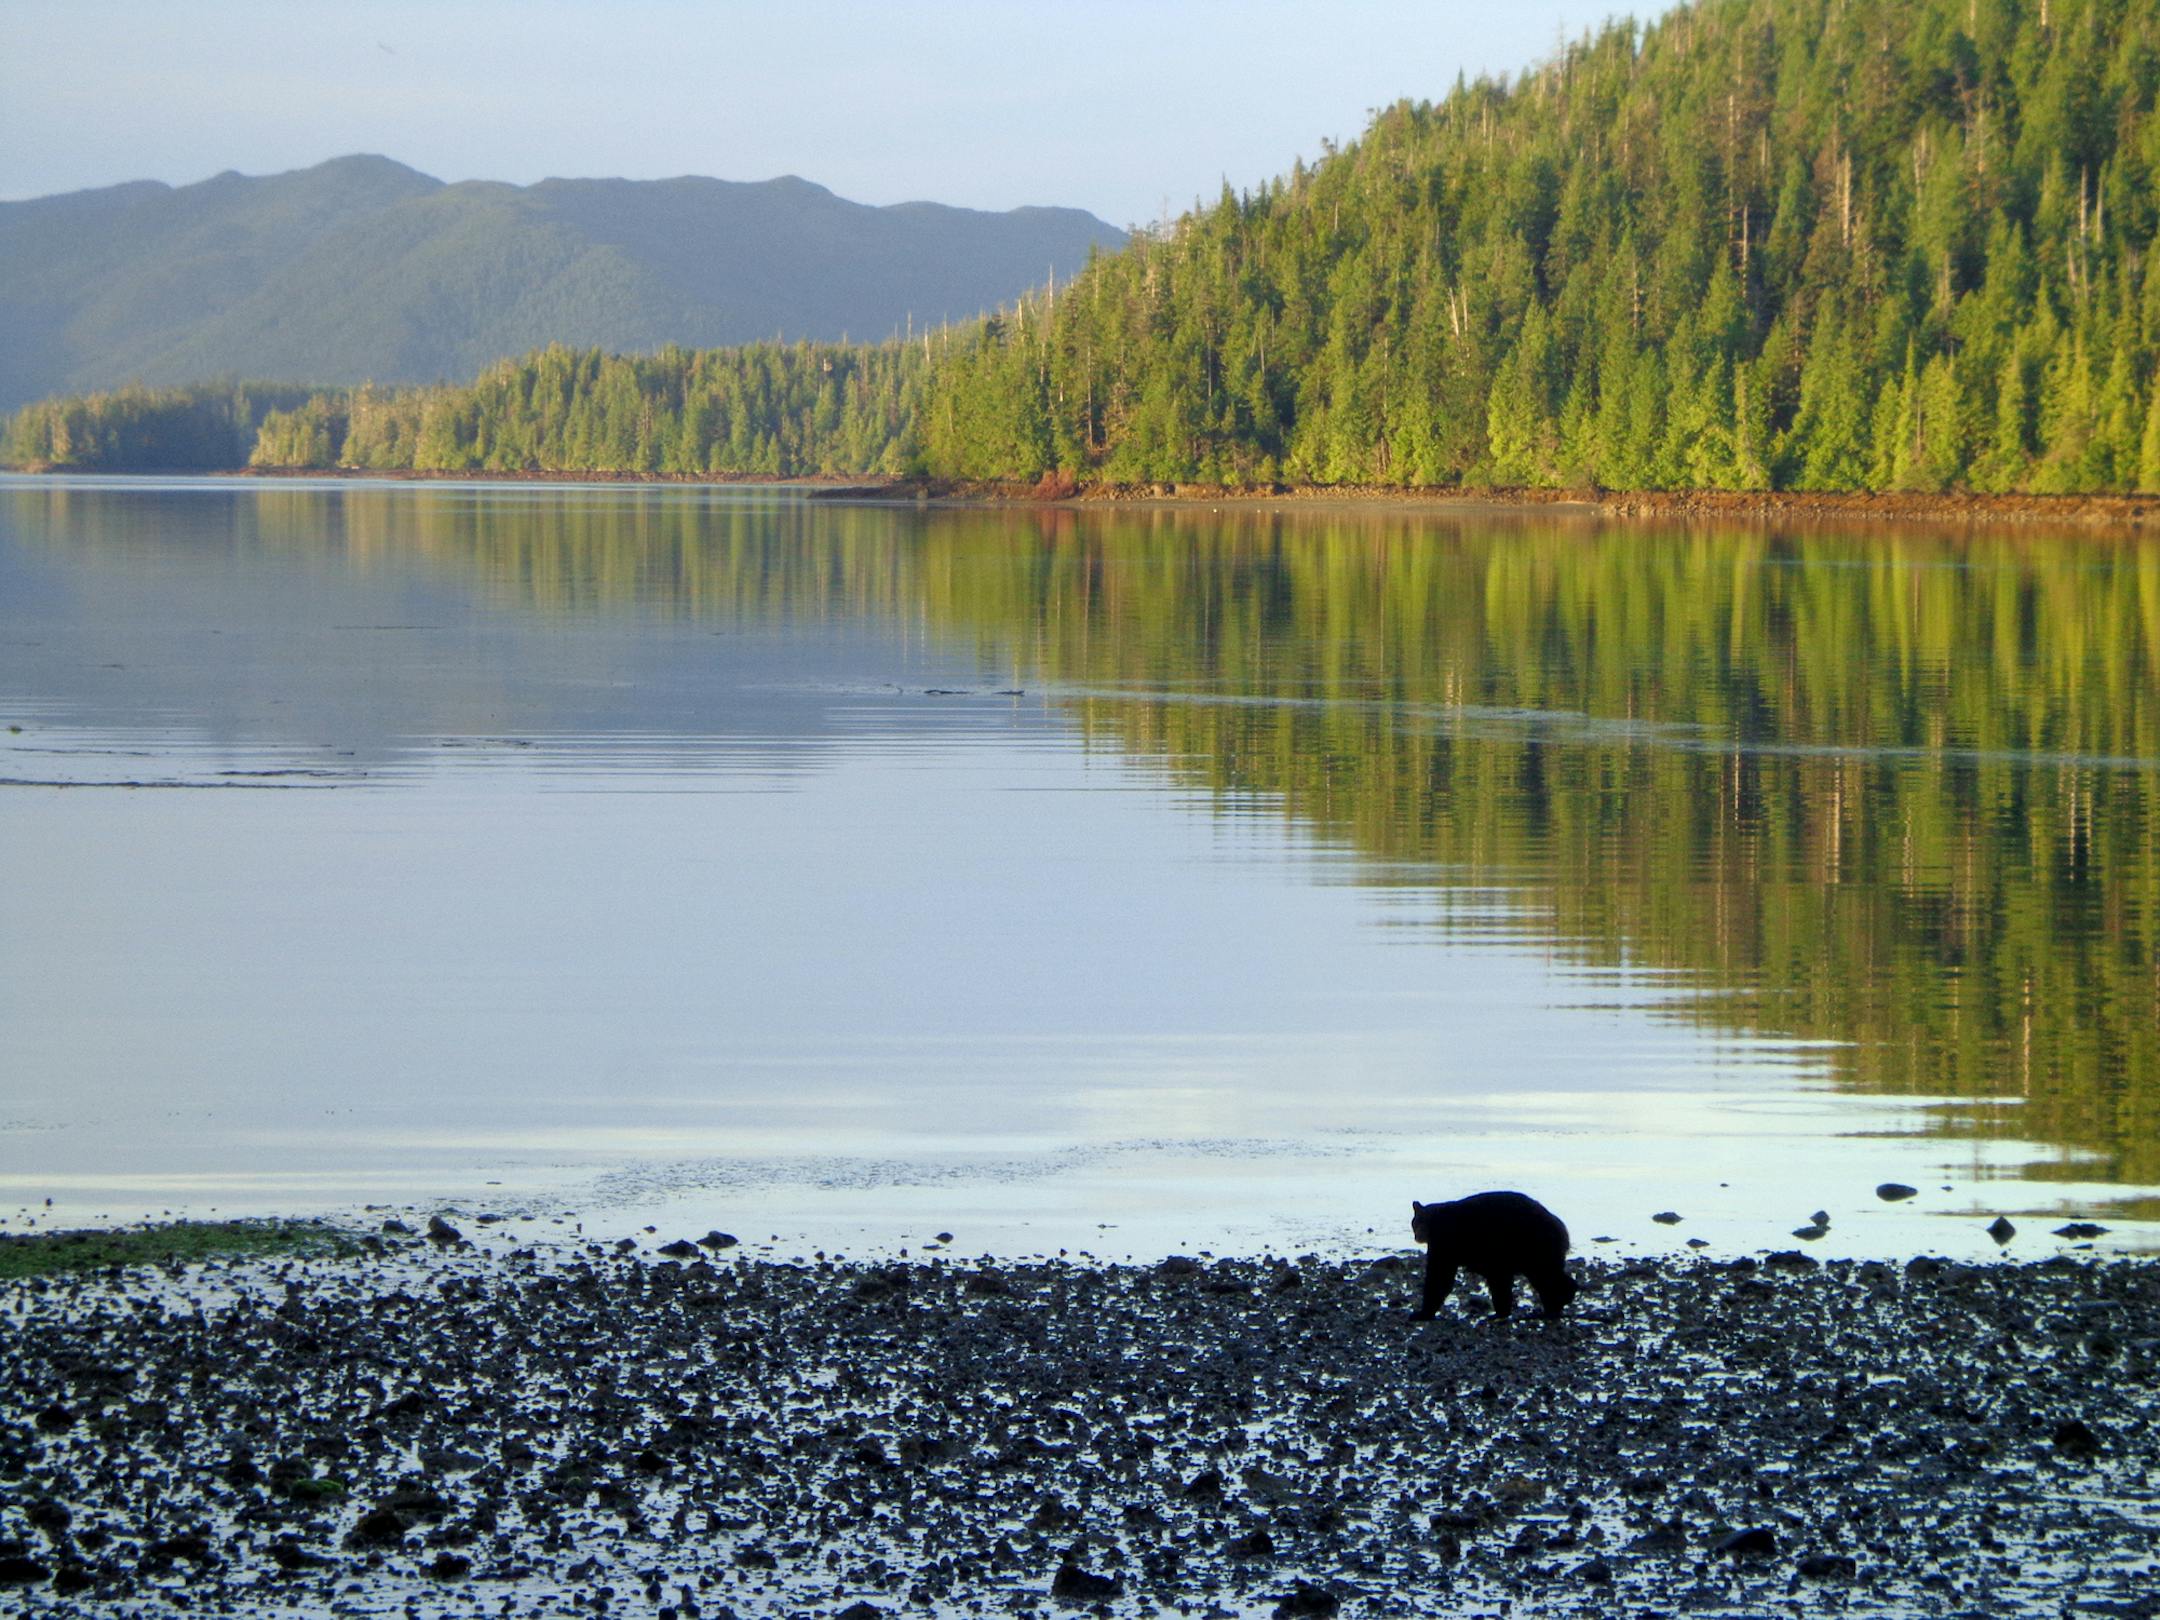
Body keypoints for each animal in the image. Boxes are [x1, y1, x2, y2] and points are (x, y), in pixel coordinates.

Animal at [1409, 1190, 1578, 1321]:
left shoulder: (1445, 1241)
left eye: (1420, 1223)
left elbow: (1439, 1276)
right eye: (1415, 1223)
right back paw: (1555, 1304)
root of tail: (1562, 1228)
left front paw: (1421, 1313)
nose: (1417, 1236)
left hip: (1535, 1245)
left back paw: (1557, 1302)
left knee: (1545, 1275)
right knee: (1547, 1276)